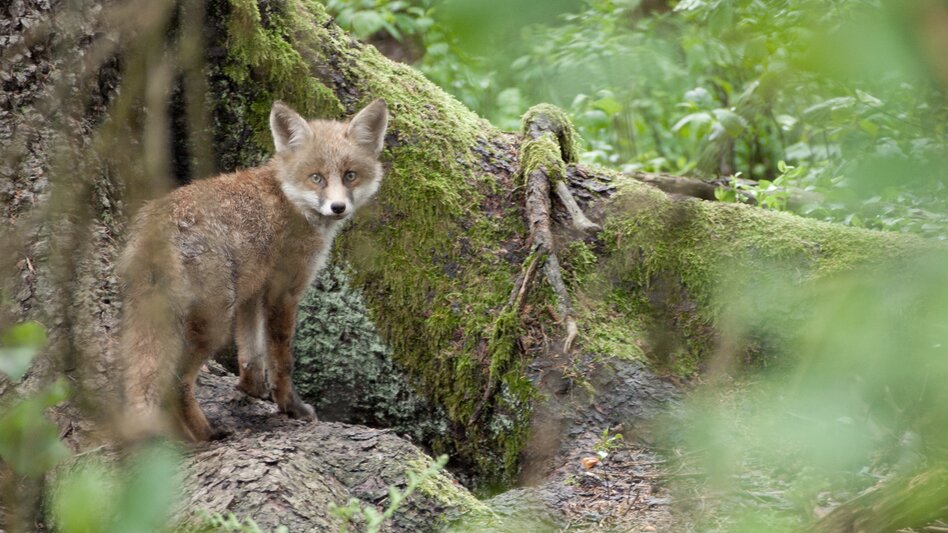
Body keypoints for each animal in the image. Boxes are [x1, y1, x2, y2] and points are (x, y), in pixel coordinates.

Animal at [117, 99, 388, 441]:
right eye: (316, 178)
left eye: (350, 175)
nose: (338, 208)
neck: (288, 198)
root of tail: (155, 229)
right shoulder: (283, 291)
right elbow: (282, 360)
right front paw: (290, 406)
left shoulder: (252, 292)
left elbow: (250, 351)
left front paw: (251, 389)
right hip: (214, 322)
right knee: (175, 381)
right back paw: (206, 435)